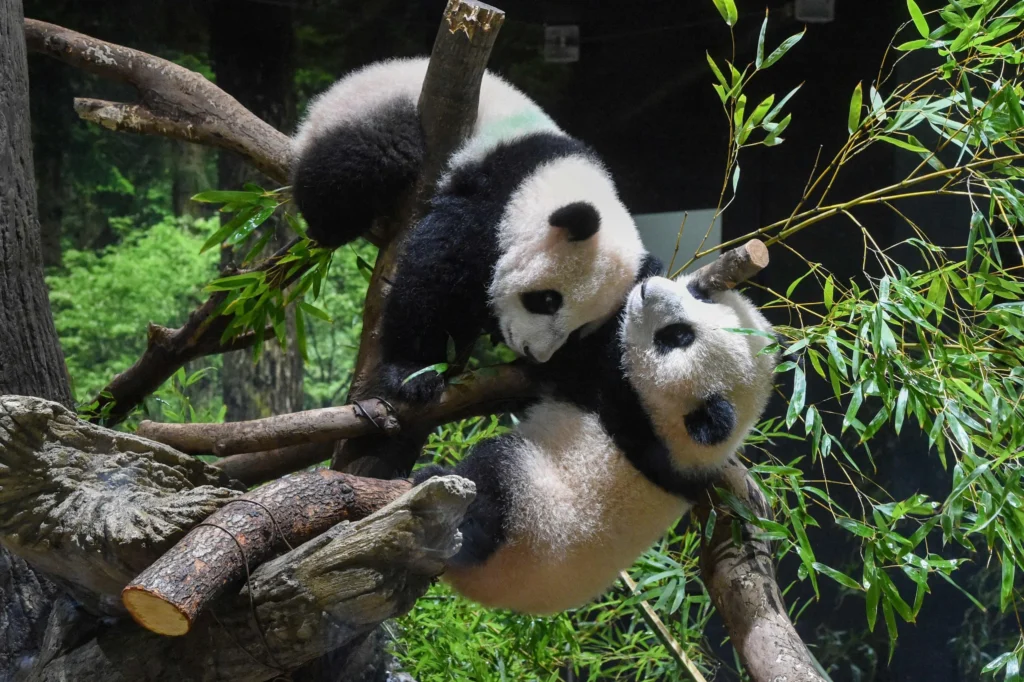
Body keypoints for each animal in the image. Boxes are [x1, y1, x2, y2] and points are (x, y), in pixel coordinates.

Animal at [292, 58, 647, 401]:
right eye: (547, 300)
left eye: (578, 330)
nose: (534, 353)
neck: (552, 177)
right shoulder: (494, 192)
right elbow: (435, 270)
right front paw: (414, 372)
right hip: (372, 110)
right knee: (368, 159)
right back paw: (331, 226)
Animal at [411, 266, 770, 610]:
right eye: (700, 297)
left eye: (677, 336)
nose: (648, 288)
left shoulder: (623, 404)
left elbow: (570, 361)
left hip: (529, 518)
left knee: (491, 483)